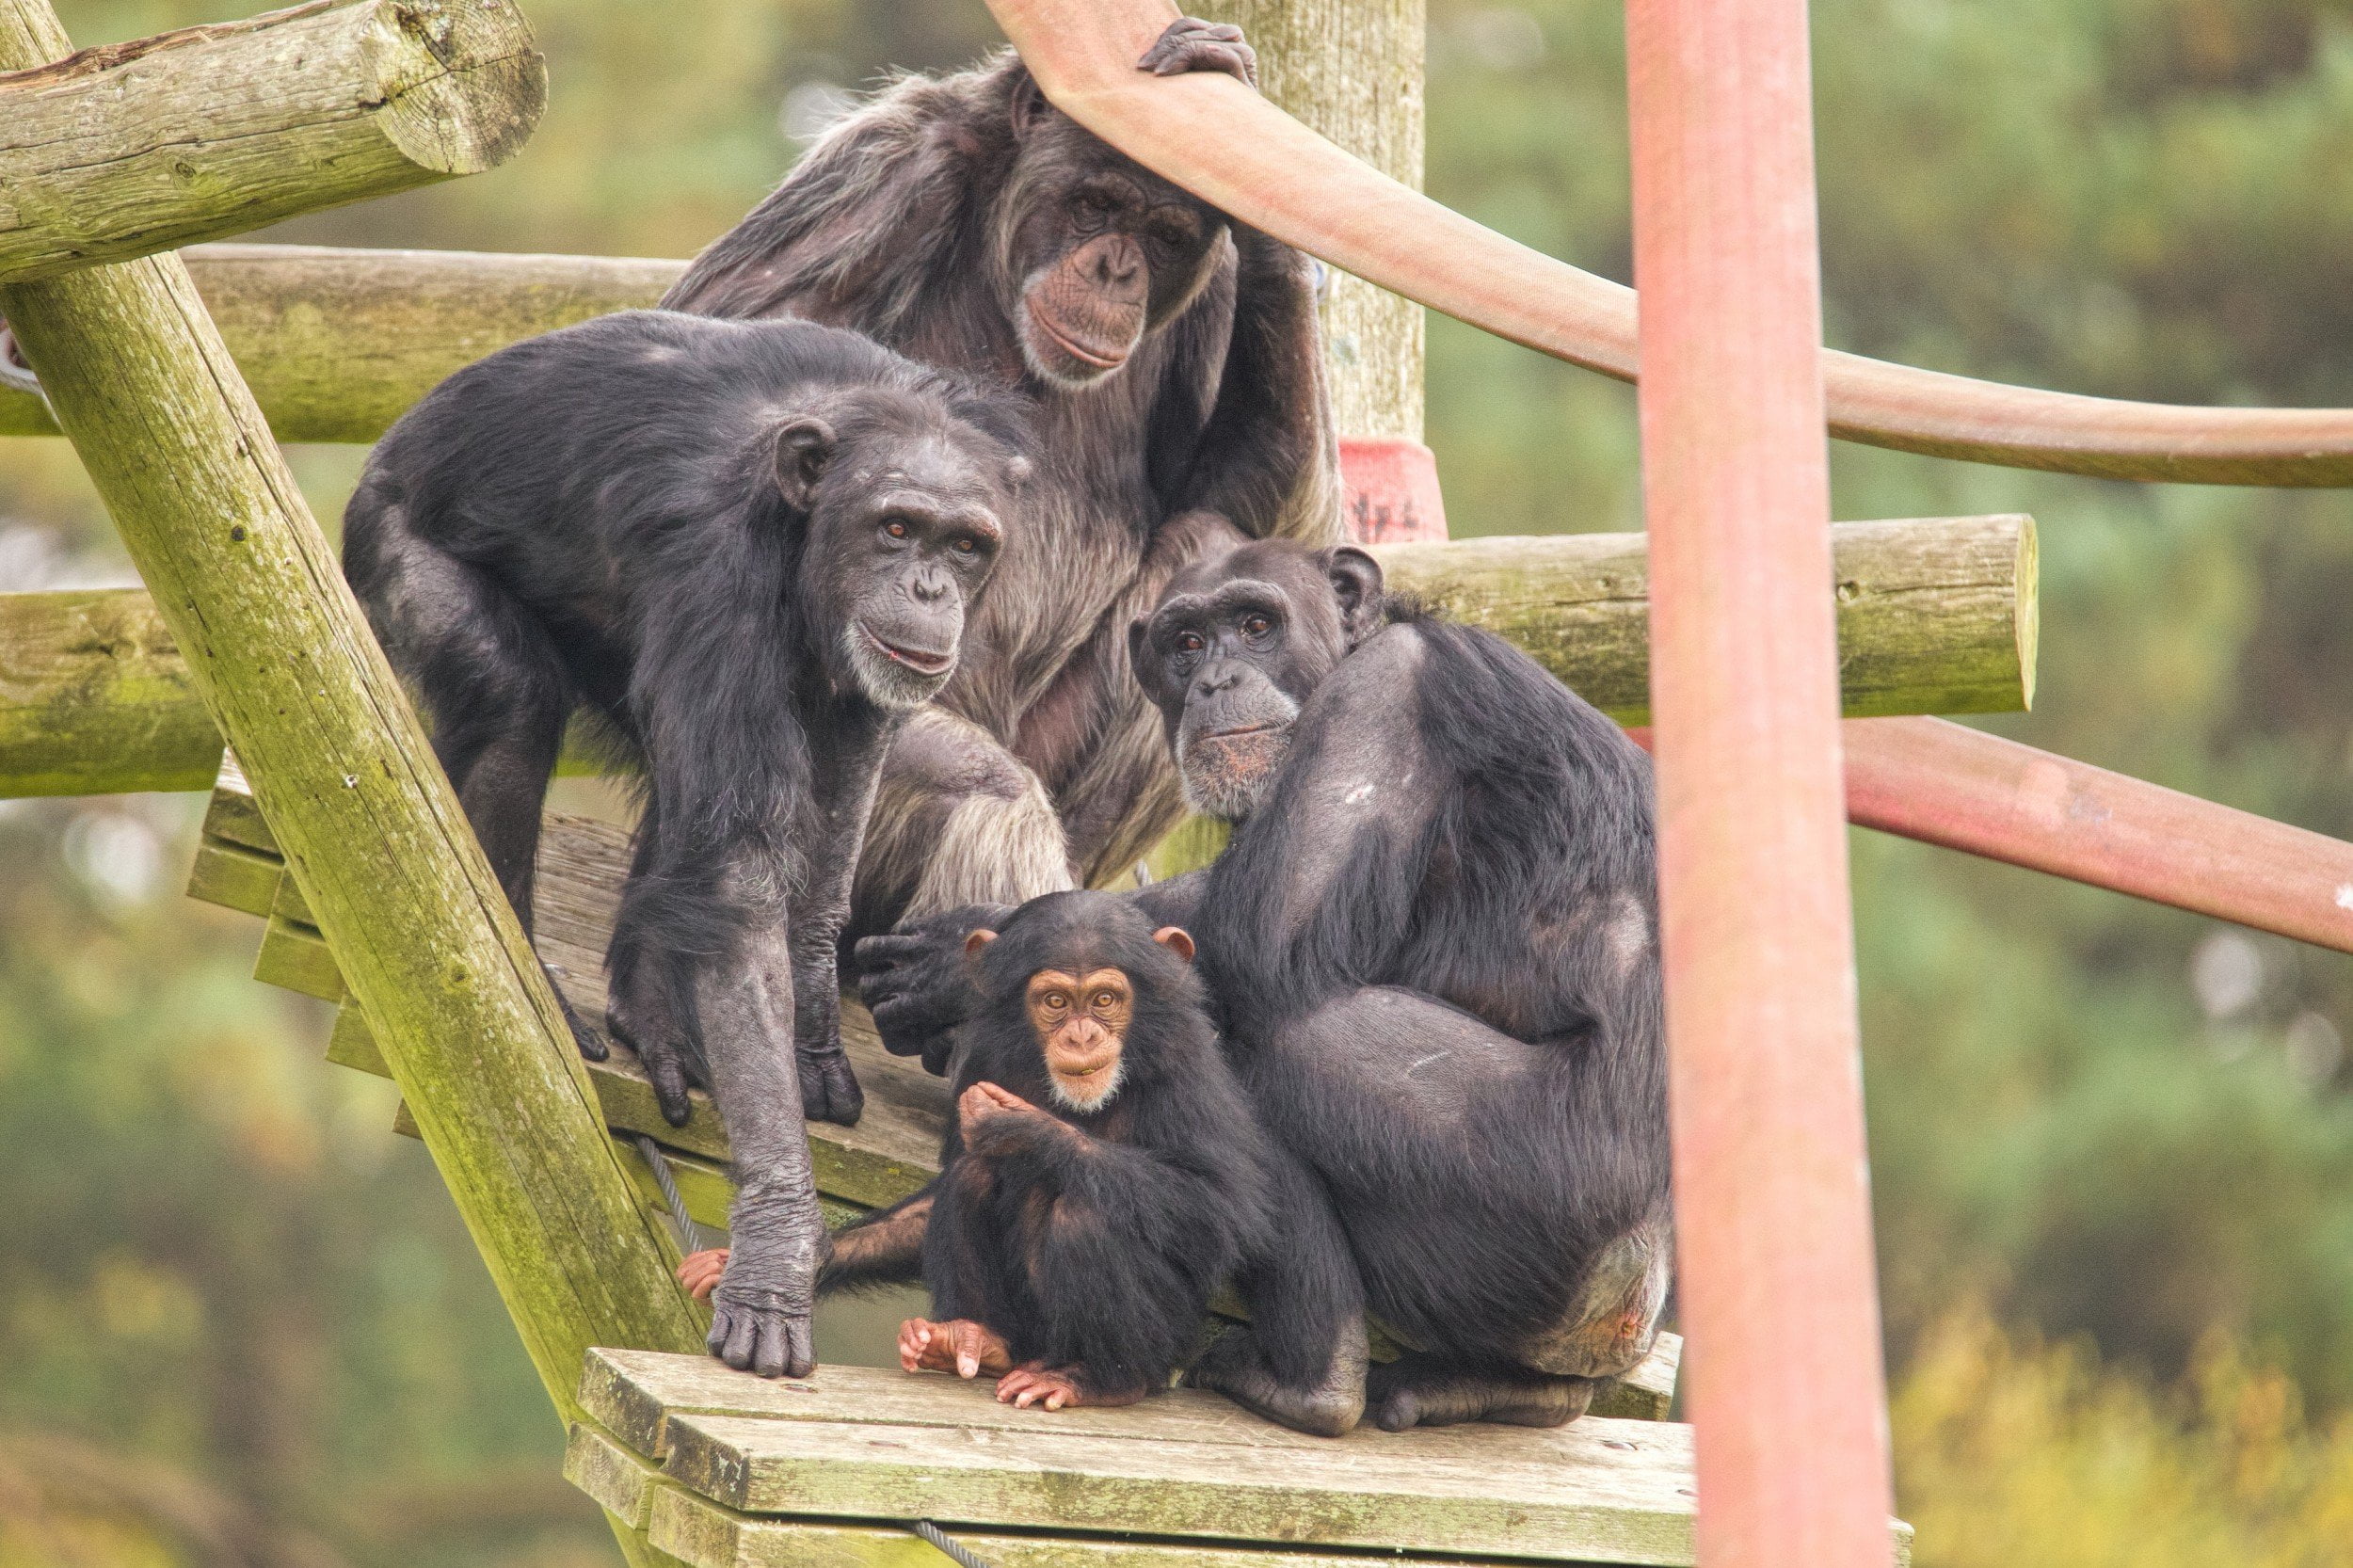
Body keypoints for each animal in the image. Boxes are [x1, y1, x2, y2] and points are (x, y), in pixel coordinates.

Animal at [344, 308, 1031, 1384]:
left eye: (966, 544)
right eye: (895, 527)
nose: (928, 586)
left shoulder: (858, 684)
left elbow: (835, 792)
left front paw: (809, 1036)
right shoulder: (716, 564)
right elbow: (744, 883)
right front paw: (778, 1249)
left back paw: (651, 1008)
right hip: (391, 538)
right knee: (512, 694)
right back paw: (534, 984)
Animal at [664, 18, 1346, 1129]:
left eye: (1164, 229)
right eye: (1096, 204)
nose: (1114, 266)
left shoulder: (1213, 296)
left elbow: (1256, 505)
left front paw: (1266, 208)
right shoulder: (877, 186)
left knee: (1198, 543)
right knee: (972, 783)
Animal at [673, 885, 1280, 1412]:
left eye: (1106, 998)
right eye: (1055, 1001)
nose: (1082, 1034)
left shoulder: (1191, 1066)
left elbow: (1219, 1207)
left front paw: (1023, 1129)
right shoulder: (980, 1051)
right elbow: (947, 1179)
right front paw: (802, 1257)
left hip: (1166, 1343)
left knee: (1083, 1212)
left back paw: (1098, 1380)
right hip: (1024, 1333)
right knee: (974, 1177)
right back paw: (974, 1341)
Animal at [866, 536, 1675, 1431]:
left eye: (1256, 625)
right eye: (1187, 643)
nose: (1217, 679)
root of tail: (1630, 1299)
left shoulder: (1387, 693)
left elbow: (1268, 930)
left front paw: (962, 957)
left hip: (1540, 1184)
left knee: (1269, 1041)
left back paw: (1311, 1386)